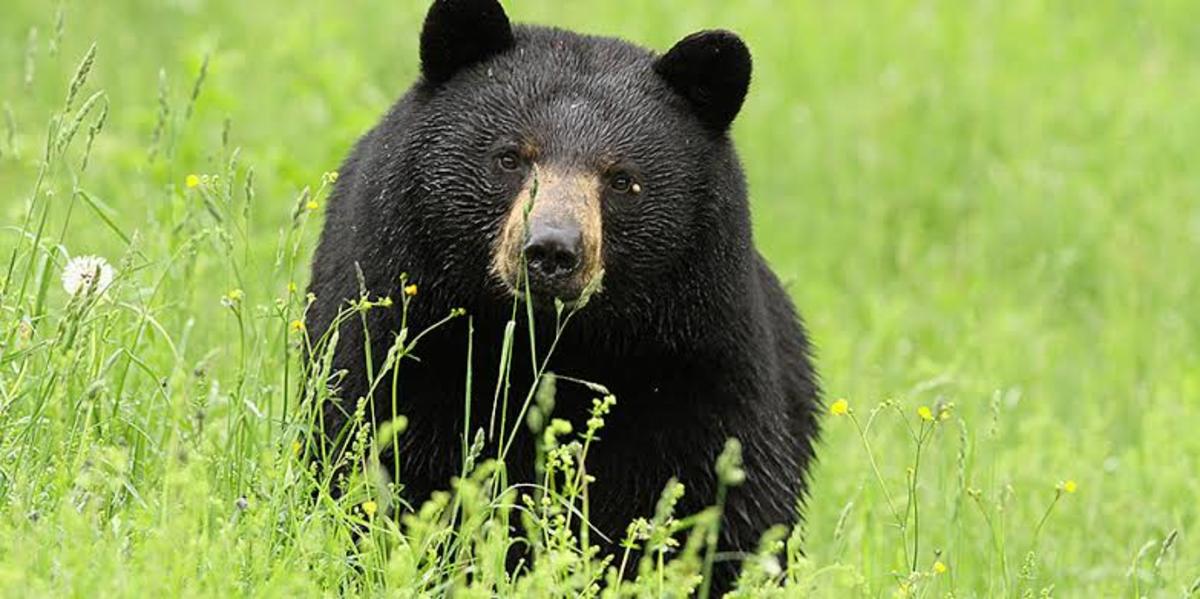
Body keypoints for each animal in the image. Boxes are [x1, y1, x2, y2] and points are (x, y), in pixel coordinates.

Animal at [305, 0, 821, 591]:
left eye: (622, 179)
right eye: (509, 157)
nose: (551, 250)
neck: (557, 343)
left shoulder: (699, 360)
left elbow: (726, 497)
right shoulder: (402, 328)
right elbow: (379, 453)